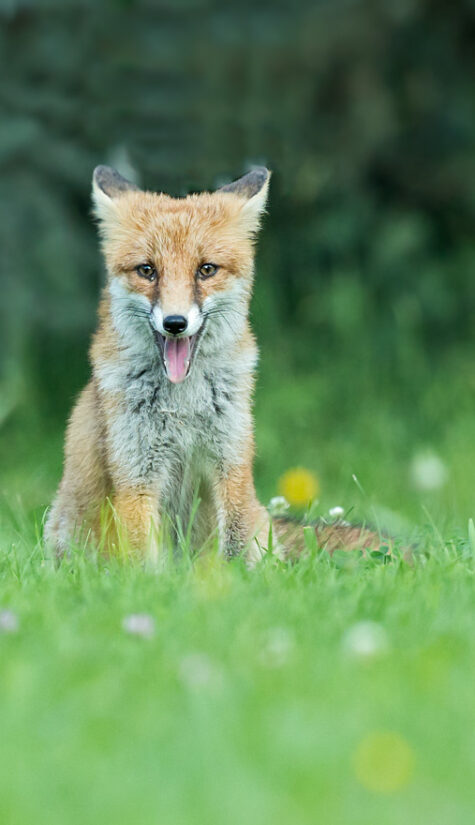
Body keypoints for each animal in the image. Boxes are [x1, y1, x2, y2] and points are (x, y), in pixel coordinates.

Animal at [45, 165, 384, 564]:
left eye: (206, 269)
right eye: (147, 270)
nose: (175, 323)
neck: (183, 407)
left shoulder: (230, 460)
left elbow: (235, 542)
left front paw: (233, 579)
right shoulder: (136, 474)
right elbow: (144, 558)